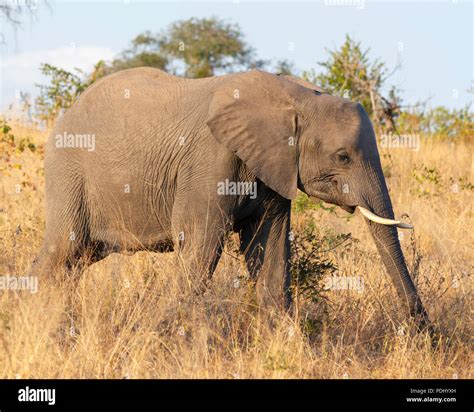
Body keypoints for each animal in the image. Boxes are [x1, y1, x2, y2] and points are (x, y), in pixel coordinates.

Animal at [28, 67, 430, 326]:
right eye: (343, 157)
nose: (422, 329)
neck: (296, 97)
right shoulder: (209, 161)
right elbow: (200, 244)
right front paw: (173, 334)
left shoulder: (272, 166)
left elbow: (269, 246)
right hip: (69, 172)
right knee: (63, 251)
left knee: (77, 258)